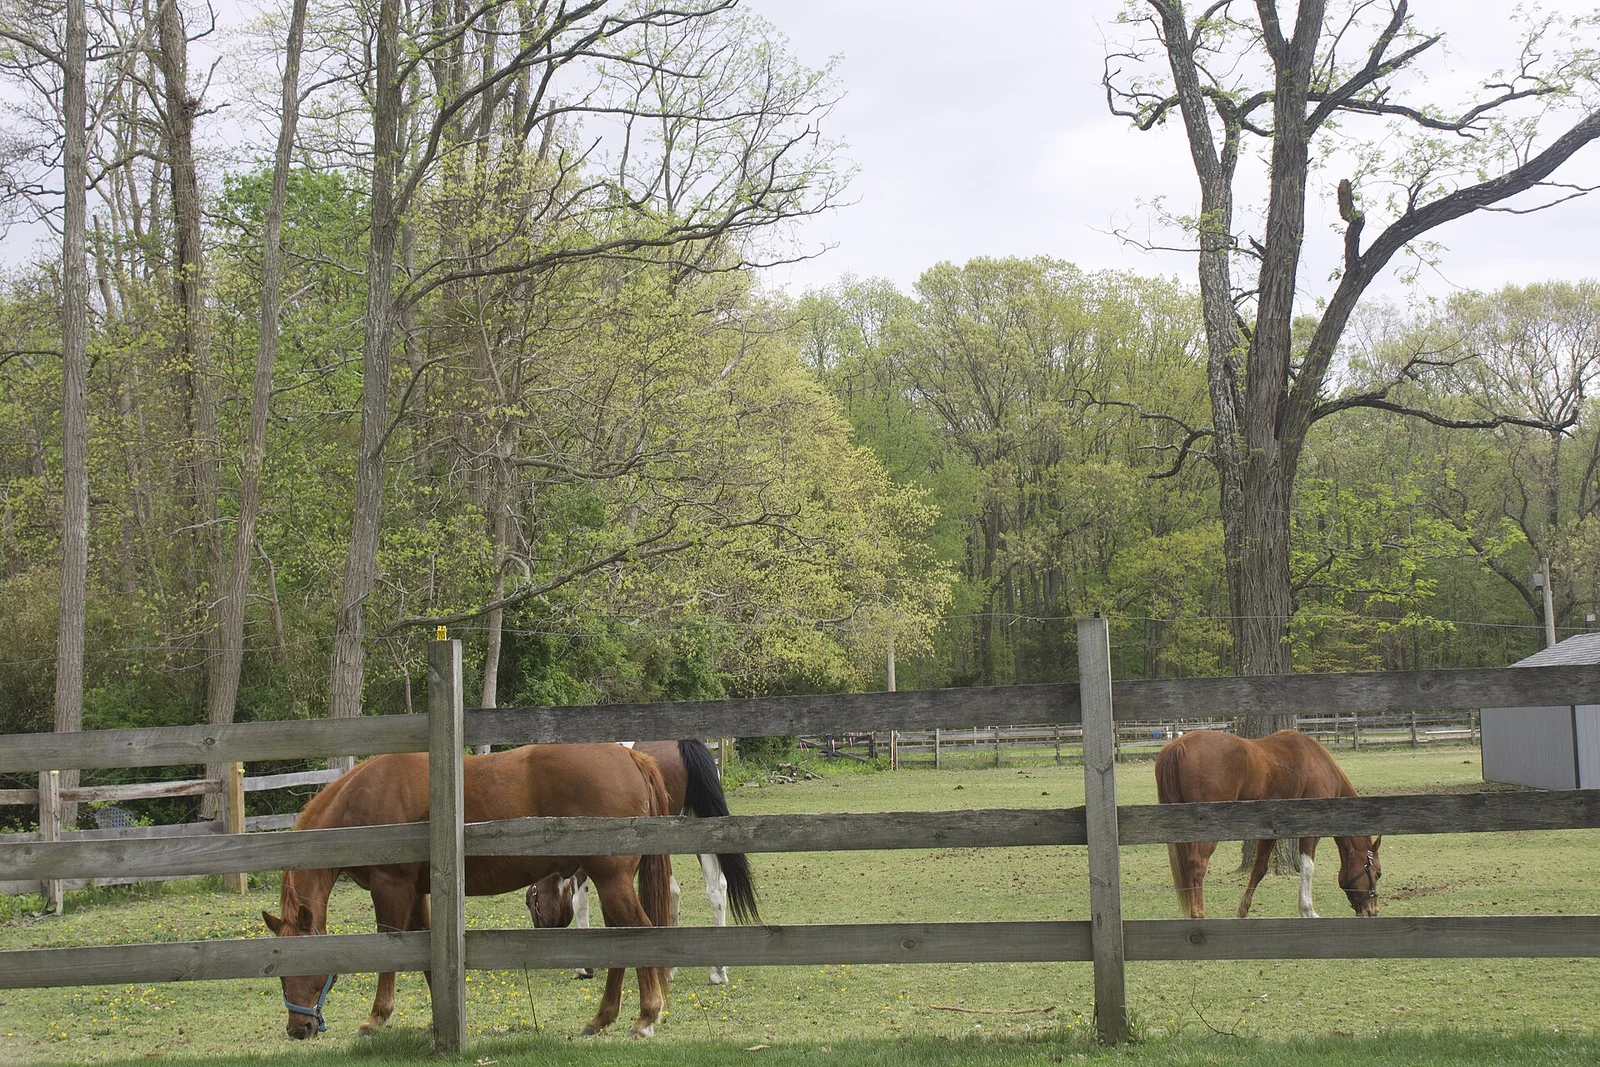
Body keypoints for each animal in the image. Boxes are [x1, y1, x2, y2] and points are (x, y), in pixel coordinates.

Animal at [261, 743, 674, 1041]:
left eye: (301, 967)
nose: (299, 1029)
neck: (361, 801)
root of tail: (630, 756)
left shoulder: (390, 886)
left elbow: (390, 947)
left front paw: (376, 1019)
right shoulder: (417, 891)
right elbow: (425, 954)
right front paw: (439, 1020)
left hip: (611, 878)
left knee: (640, 931)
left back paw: (645, 1018)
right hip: (607, 881)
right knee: (619, 940)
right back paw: (602, 1019)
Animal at [527, 739, 758, 985]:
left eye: (530, 901)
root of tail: (683, 743)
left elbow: (580, 903)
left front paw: (584, 967)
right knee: (711, 889)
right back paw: (714, 971)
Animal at [1153, 729, 1381, 919]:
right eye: (1377, 873)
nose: (1373, 911)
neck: (1319, 763)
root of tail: (1179, 745)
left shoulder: (1270, 831)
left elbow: (1259, 868)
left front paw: (1243, 910)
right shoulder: (1310, 829)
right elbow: (1308, 867)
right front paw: (1307, 910)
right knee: (1197, 864)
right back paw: (1198, 914)